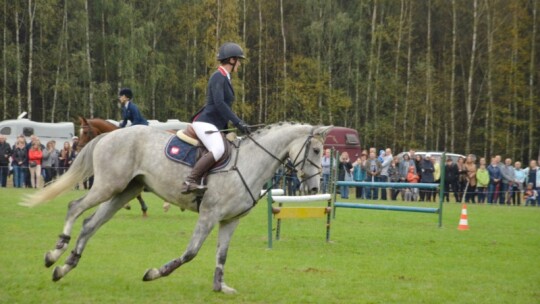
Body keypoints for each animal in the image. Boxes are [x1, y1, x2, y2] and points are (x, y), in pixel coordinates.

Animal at [21, 122, 332, 294]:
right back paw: (54, 254)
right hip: (108, 186)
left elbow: (222, 256)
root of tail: (111, 135)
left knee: (90, 224)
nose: (314, 189)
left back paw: (65, 267)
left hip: (124, 191)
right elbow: (190, 253)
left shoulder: (230, 220)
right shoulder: (209, 215)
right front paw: (154, 273)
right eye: (316, 150)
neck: (250, 162)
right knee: (75, 208)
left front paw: (220, 287)